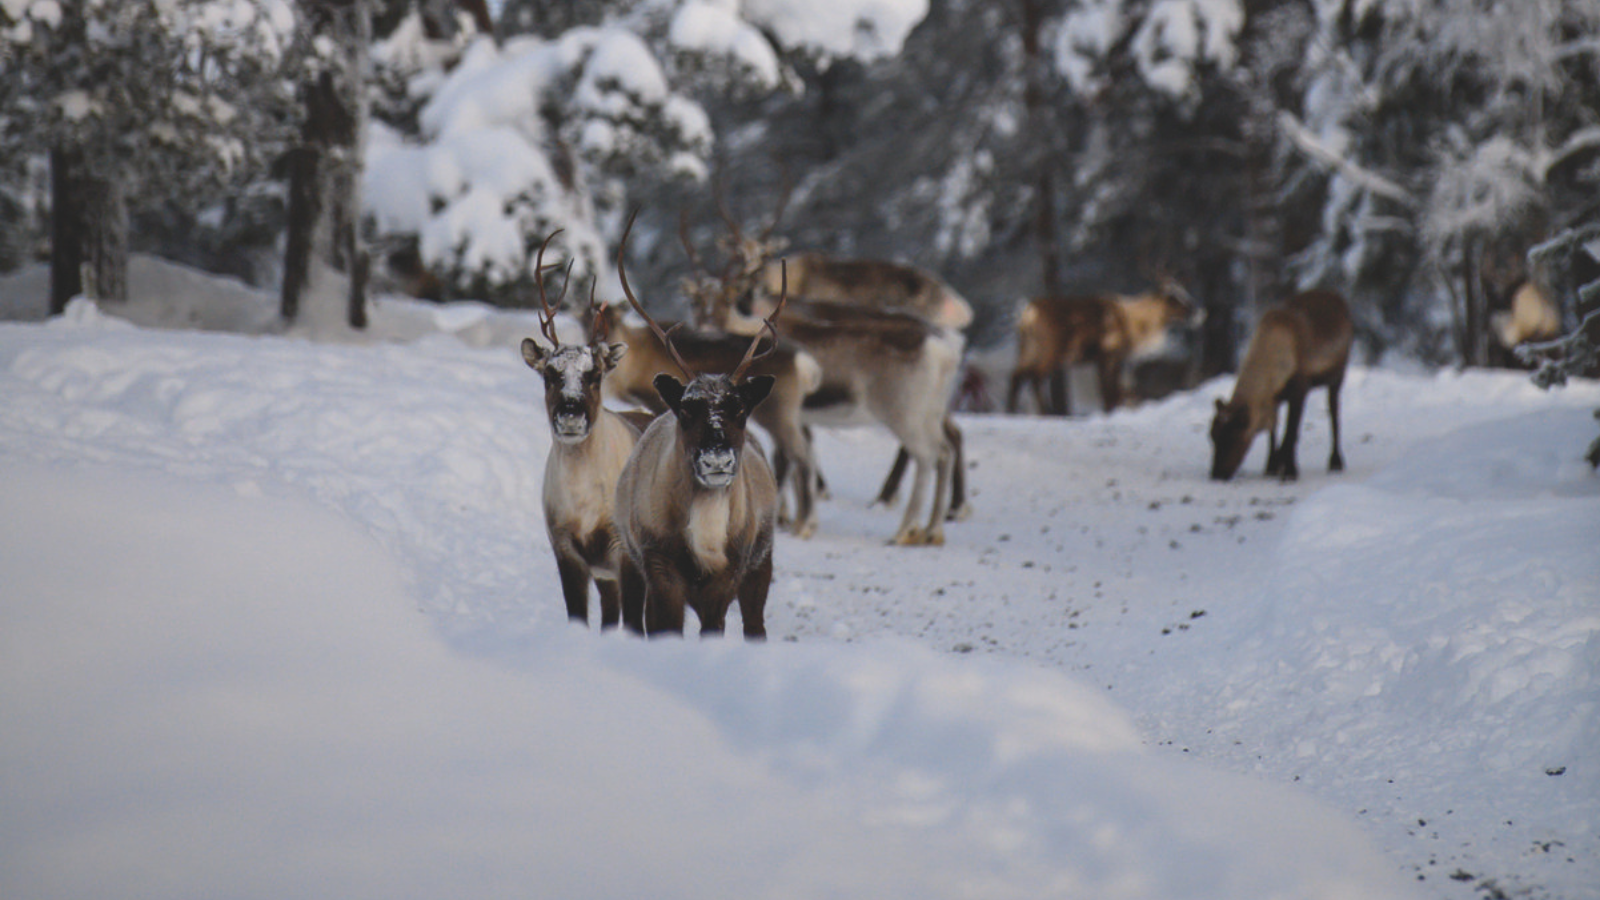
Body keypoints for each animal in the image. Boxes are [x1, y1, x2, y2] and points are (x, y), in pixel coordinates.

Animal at [521, 233, 648, 628]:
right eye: (550, 374)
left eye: (595, 375)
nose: (571, 415)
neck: (585, 506)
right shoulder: (566, 549)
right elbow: (579, 617)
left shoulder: (626, 552)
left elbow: (634, 625)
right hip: (606, 577)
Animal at [611, 211, 785, 638]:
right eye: (686, 409)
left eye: (740, 408)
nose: (716, 460)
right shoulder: (659, 568)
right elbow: (662, 629)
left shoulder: (730, 573)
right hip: (629, 561)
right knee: (634, 620)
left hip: (762, 565)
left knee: (755, 627)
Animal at [1007, 279, 1203, 416]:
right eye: (1172, 297)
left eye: (1184, 290)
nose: (1197, 312)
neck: (1134, 325)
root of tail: (1027, 313)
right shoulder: (1109, 354)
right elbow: (1109, 392)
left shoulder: (1108, 359)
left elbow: (1115, 390)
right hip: (1051, 349)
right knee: (1035, 376)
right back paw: (1046, 412)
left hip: (1027, 347)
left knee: (1017, 375)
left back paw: (1012, 411)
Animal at [1209, 289, 1354, 482]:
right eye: (1212, 436)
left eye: (1234, 437)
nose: (1217, 474)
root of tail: (1339, 298)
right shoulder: (1273, 399)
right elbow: (1273, 431)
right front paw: (1271, 465)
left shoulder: (1299, 389)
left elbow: (1291, 432)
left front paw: (1289, 470)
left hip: (1337, 377)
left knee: (1334, 415)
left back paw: (1336, 461)